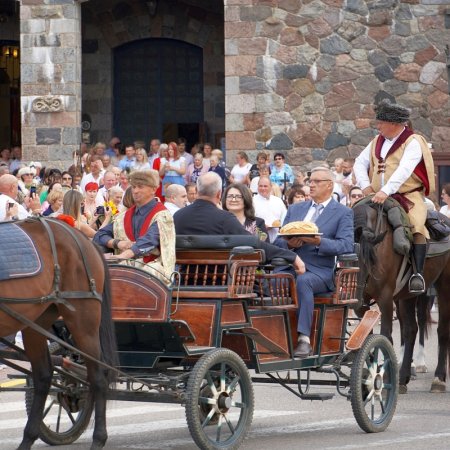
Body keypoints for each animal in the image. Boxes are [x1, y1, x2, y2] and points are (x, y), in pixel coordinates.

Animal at [0, 216, 118, 448]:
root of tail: (81, 236)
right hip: (34, 322)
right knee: (43, 377)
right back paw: (28, 438)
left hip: (83, 321)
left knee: (98, 378)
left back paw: (98, 439)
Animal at [356, 201, 450, 394]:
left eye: (370, 259)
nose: (358, 297)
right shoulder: (365, 307)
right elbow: (366, 336)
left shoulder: (385, 299)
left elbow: (386, 336)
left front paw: (382, 376)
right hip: (407, 296)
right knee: (410, 330)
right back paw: (403, 377)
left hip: (443, 286)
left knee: (442, 330)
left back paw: (438, 378)